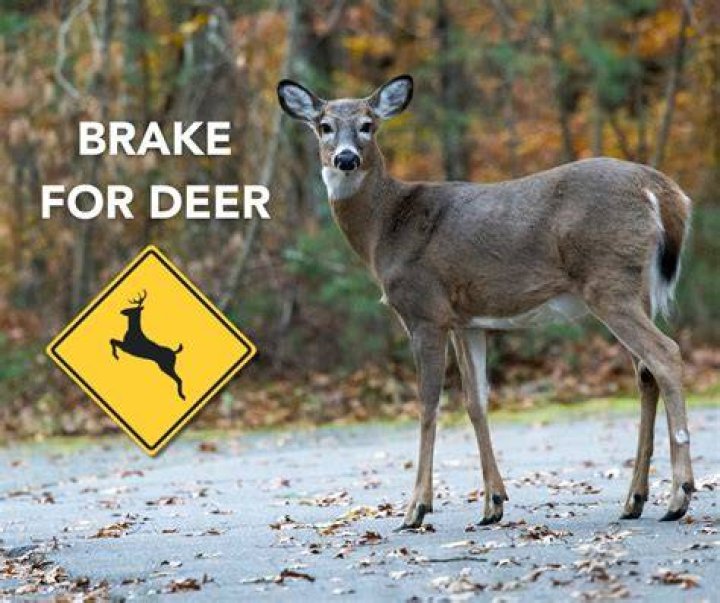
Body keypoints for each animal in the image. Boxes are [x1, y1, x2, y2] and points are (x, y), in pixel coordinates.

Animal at [277, 74, 695, 530]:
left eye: (368, 125)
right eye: (324, 126)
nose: (347, 158)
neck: (384, 229)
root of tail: (663, 192)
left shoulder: (425, 309)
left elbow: (427, 403)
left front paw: (416, 508)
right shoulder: (466, 319)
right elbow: (476, 401)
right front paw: (493, 503)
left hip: (608, 282)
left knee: (666, 353)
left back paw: (679, 496)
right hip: (637, 289)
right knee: (645, 372)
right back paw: (634, 499)